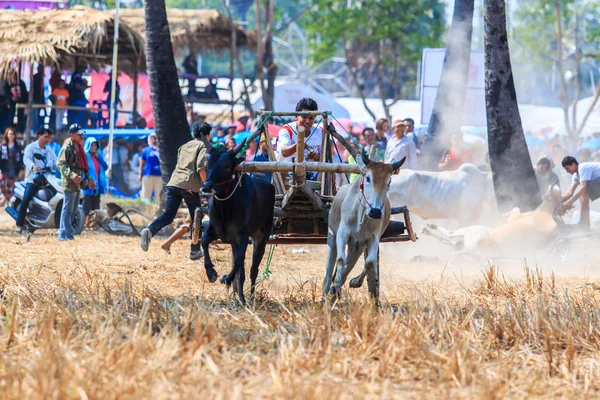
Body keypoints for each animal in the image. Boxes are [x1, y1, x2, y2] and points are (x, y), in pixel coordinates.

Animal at [202, 136, 276, 302]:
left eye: (227, 166)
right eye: (208, 164)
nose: (206, 187)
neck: (225, 206)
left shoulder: (243, 235)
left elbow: (238, 261)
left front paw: (225, 278)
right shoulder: (215, 229)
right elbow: (203, 242)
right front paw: (211, 273)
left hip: (261, 238)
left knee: (253, 270)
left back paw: (249, 296)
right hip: (235, 241)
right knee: (241, 271)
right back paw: (240, 297)